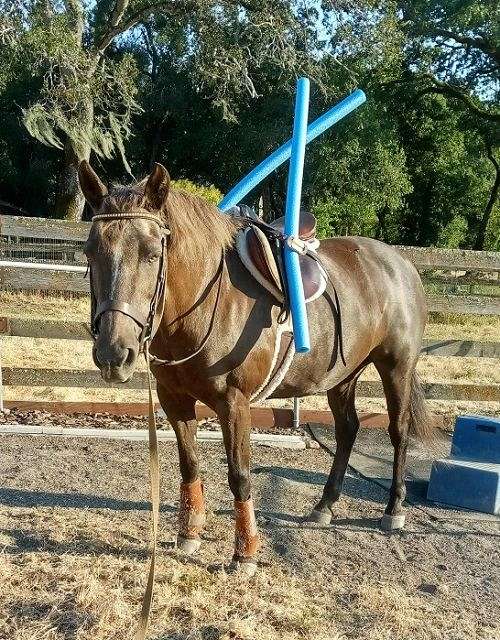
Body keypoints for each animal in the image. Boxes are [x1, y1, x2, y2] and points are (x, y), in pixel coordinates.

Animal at [79, 161, 434, 576]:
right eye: (90, 252)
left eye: (152, 253)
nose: (113, 353)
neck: (203, 302)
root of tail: (401, 263)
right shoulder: (173, 398)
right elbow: (189, 464)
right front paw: (189, 533)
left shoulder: (235, 404)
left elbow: (240, 476)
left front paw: (244, 553)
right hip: (342, 376)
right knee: (348, 429)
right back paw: (324, 505)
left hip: (396, 367)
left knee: (398, 432)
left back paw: (394, 509)